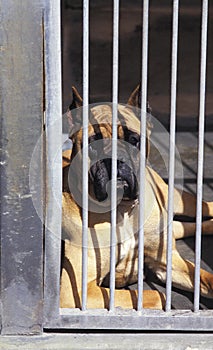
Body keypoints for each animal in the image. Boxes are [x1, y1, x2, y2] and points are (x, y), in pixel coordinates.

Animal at [59, 85, 213, 308]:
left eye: (133, 140)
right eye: (93, 144)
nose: (115, 159)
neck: (123, 209)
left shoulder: (169, 262)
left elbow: (206, 278)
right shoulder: (75, 292)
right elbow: (156, 295)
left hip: (175, 199)